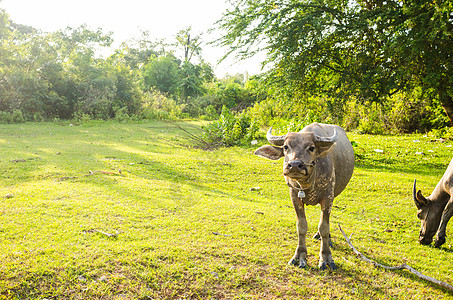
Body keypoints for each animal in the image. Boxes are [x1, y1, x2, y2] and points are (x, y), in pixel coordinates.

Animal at [254, 122, 354, 270]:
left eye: (311, 147)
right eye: (286, 146)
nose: (295, 165)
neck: (307, 183)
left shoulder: (328, 197)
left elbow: (324, 227)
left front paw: (326, 258)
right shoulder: (294, 196)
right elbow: (301, 226)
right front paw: (300, 256)